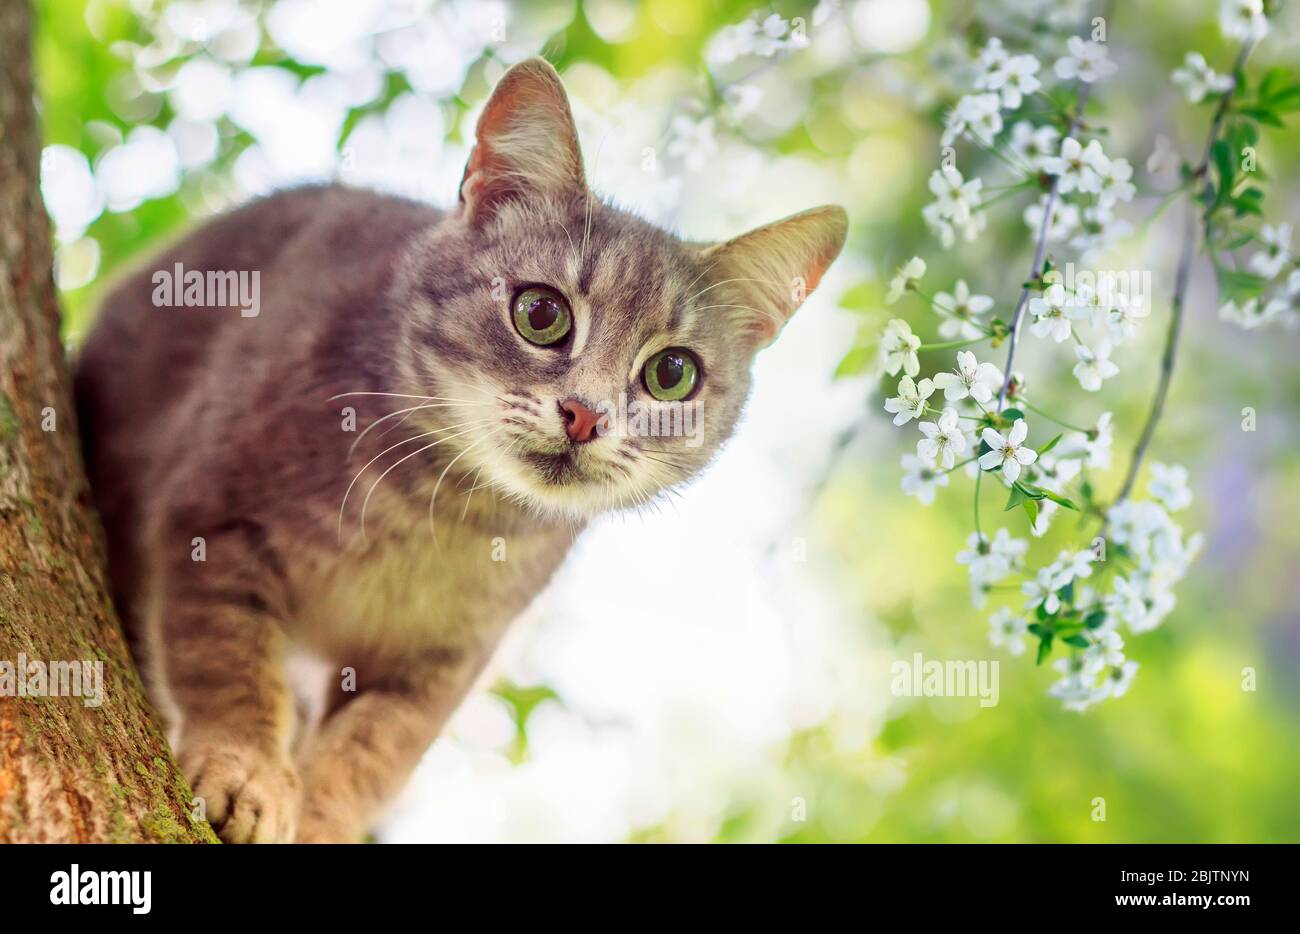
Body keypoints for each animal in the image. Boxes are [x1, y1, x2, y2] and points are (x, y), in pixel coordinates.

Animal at [76, 60, 847, 848]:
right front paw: (247, 768)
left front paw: (320, 816)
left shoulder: (441, 665)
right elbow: (231, 666)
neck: (440, 515)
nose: (586, 415)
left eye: (671, 373)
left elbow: (369, 752)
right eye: (542, 313)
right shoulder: (214, 521)